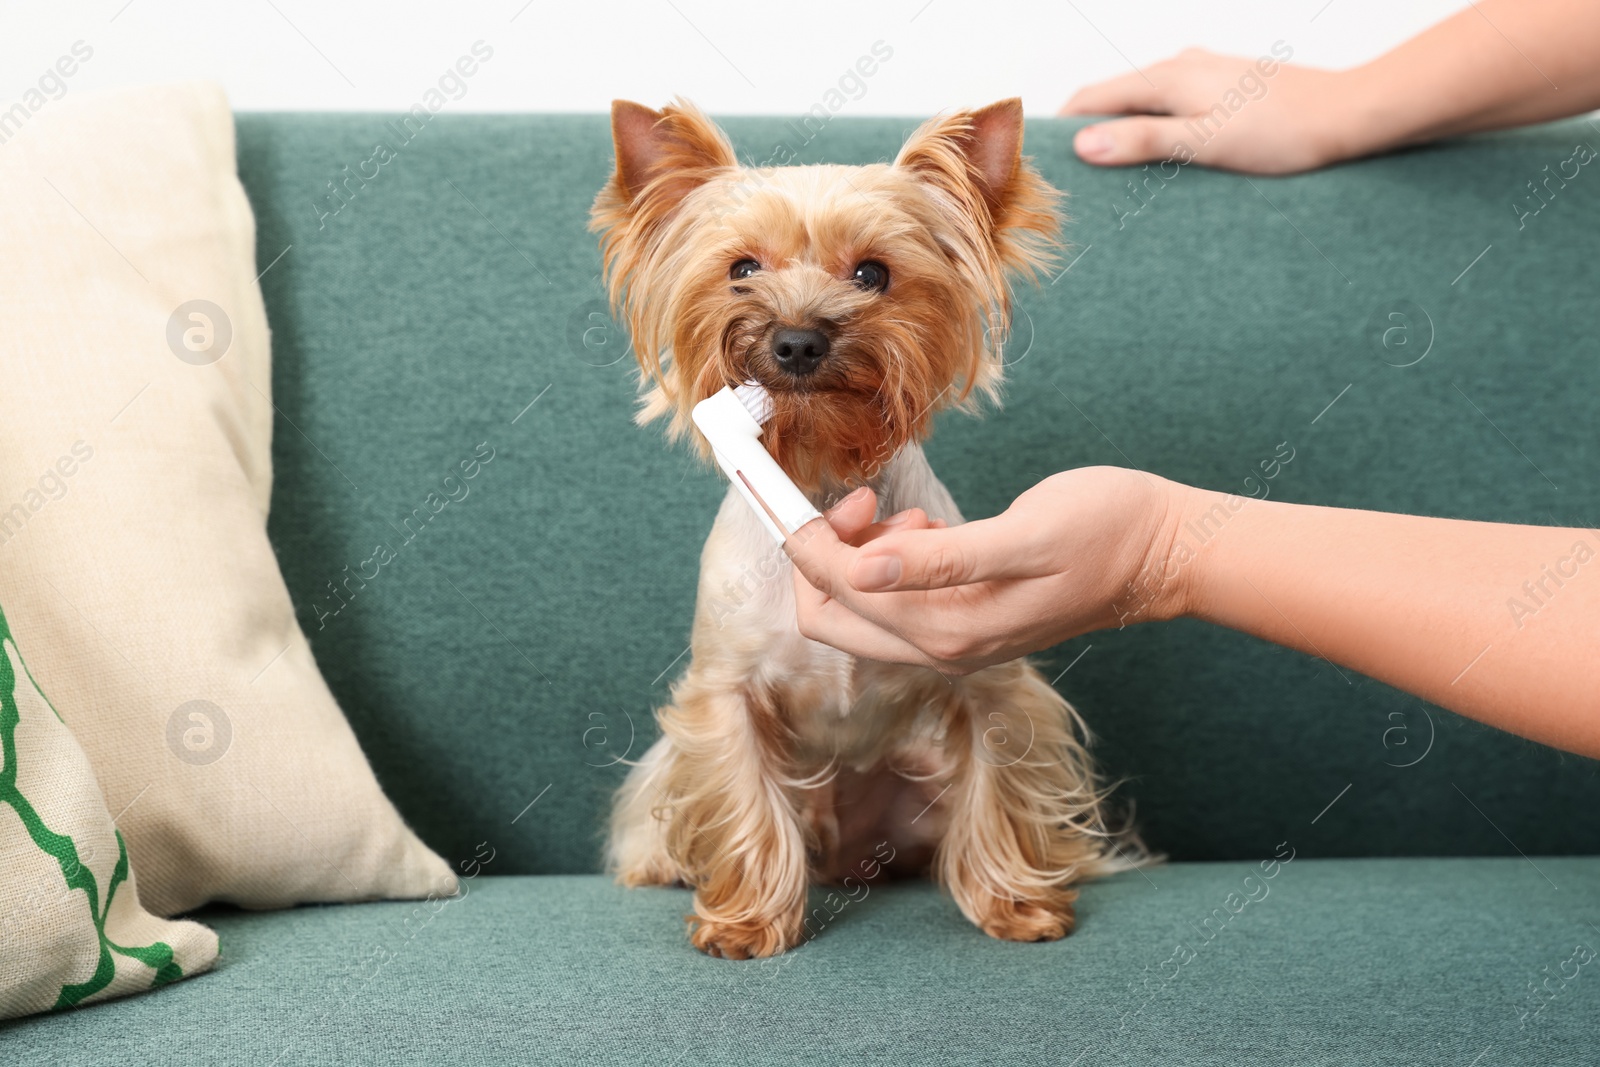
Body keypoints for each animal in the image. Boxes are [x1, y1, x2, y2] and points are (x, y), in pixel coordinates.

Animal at [595, 93, 1132, 959]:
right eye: (742, 269)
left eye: (872, 274)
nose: (797, 338)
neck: (817, 478)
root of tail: (849, 851)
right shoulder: (725, 692)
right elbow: (742, 795)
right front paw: (746, 922)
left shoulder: (989, 681)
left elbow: (999, 781)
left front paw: (1016, 903)